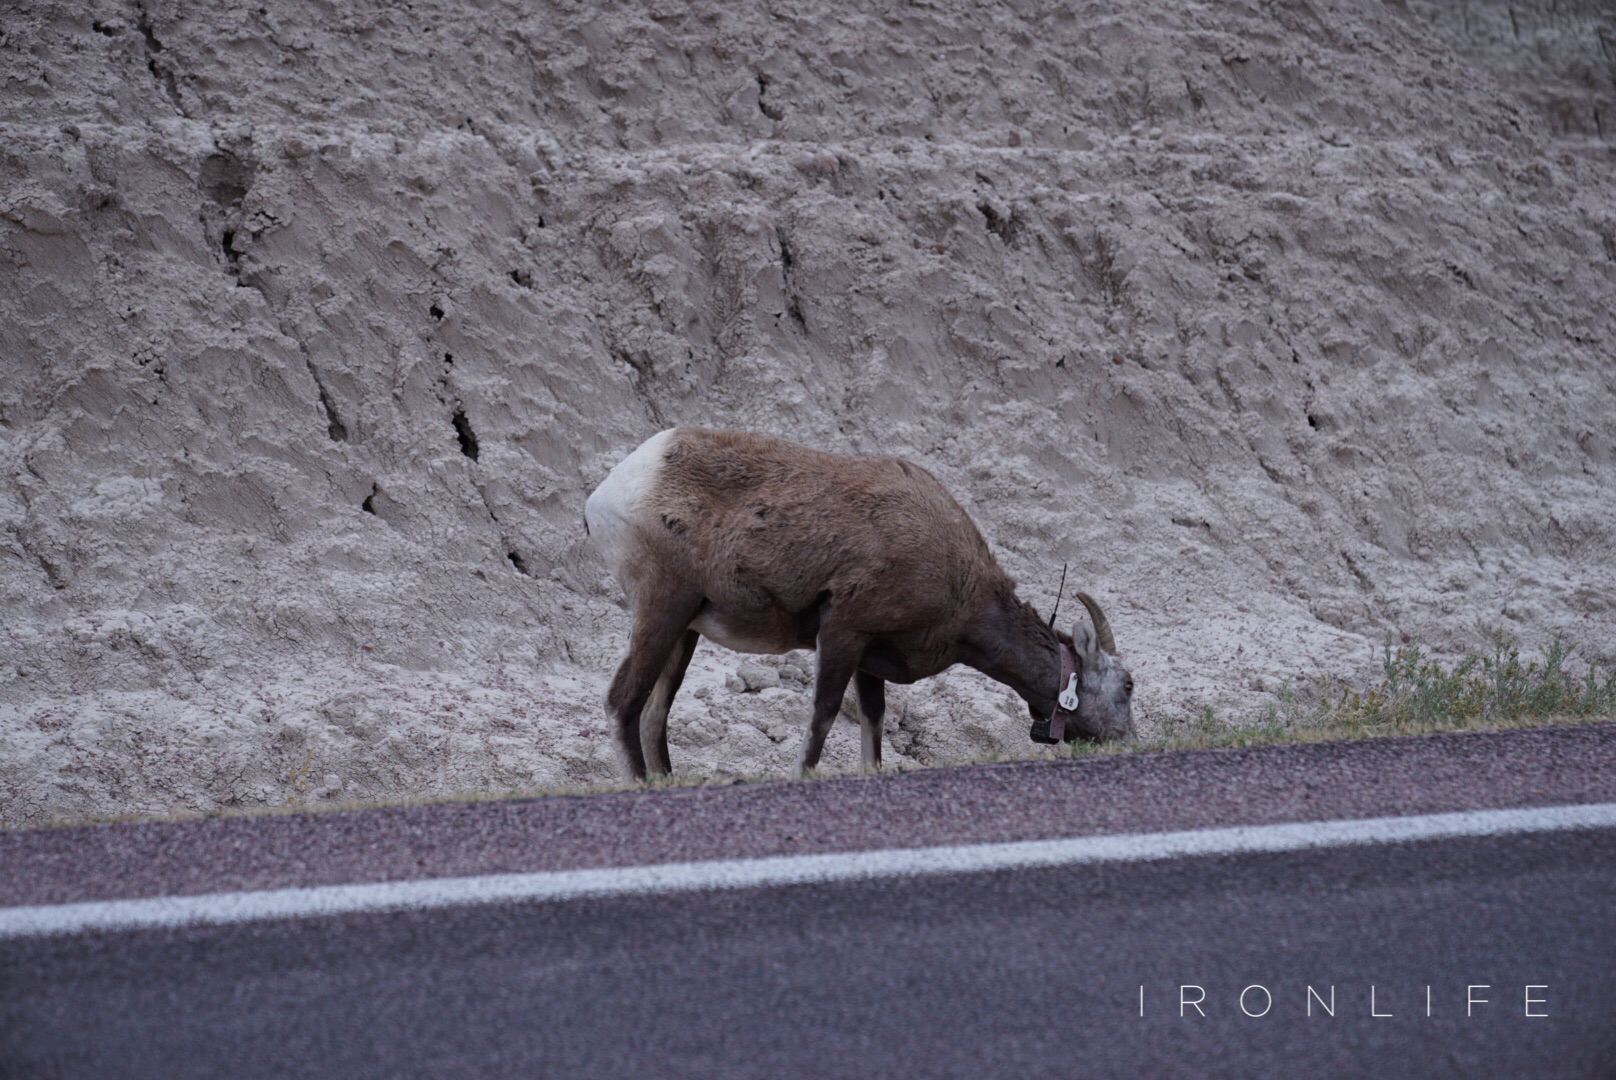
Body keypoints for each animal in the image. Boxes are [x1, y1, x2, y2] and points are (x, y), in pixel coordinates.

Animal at [584, 426, 1137, 776]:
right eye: (1129, 686)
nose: (1131, 743)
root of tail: (610, 488)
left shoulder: (871, 656)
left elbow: (874, 724)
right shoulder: (843, 630)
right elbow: (823, 717)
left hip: (686, 630)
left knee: (653, 715)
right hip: (663, 607)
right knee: (622, 702)